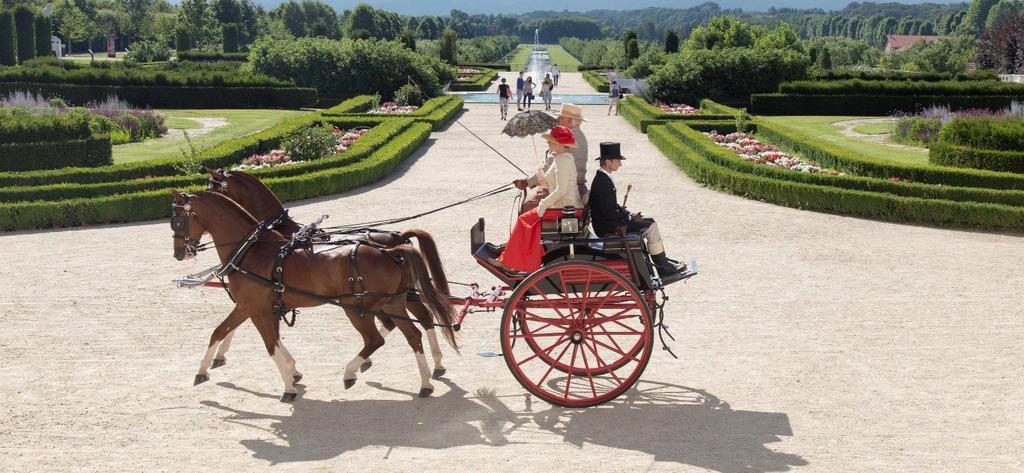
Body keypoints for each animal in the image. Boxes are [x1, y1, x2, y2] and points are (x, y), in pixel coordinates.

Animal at [171, 190, 456, 401]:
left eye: (177, 219)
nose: (178, 253)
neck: (252, 249)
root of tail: (392, 248)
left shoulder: (253, 307)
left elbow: (267, 344)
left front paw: (288, 385)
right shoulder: (258, 307)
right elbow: (224, 331)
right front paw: (292, 370)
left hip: (355, 307)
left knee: (377, 338)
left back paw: (351, 371)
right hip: (394, 302)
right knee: (415, 332)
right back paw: (426, 380)